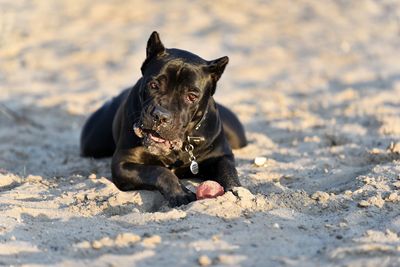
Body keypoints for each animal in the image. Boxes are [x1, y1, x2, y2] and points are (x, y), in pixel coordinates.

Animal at [79, 31, 245, 207]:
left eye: (192, 96)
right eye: (153, 85)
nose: (160, 116)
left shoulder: (222, 156)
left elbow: (229, 173)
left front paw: (237, 191)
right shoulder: (122, 163)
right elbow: (159, 171)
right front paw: (180, 193)